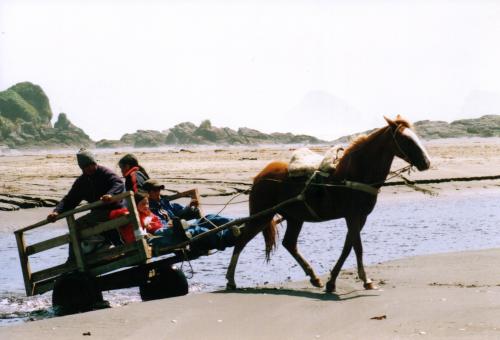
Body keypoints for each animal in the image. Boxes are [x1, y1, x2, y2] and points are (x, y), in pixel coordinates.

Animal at [226, 115, 430, 290]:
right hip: (261, 216)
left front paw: (335, 282)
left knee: (289, 244)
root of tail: (260, 176)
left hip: (294, 218)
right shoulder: (353, 216)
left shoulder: (359, 218)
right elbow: (356, 247)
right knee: (241, 241)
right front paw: (361, 280)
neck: (354, 173)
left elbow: (349, 246)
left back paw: (314, 277)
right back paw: (230, 280)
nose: (426, 163)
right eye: (406, 140)